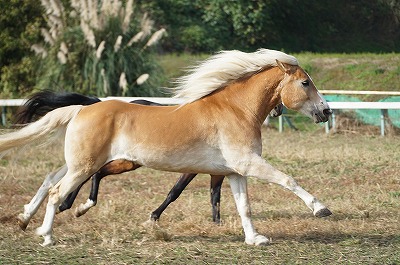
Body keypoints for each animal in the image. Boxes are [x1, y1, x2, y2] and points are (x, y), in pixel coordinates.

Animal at [14, 89, 284, 228]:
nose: (278, 110)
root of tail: (97, 106)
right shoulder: (191, 169)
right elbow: (175, 192)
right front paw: (154, 216)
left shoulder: (218, 171)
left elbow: (215, 194)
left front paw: (217, 223)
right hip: (126, 161)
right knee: (92, 173)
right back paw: (70, 205)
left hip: (125, 161)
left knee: (87, 173)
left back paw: (67, 205)